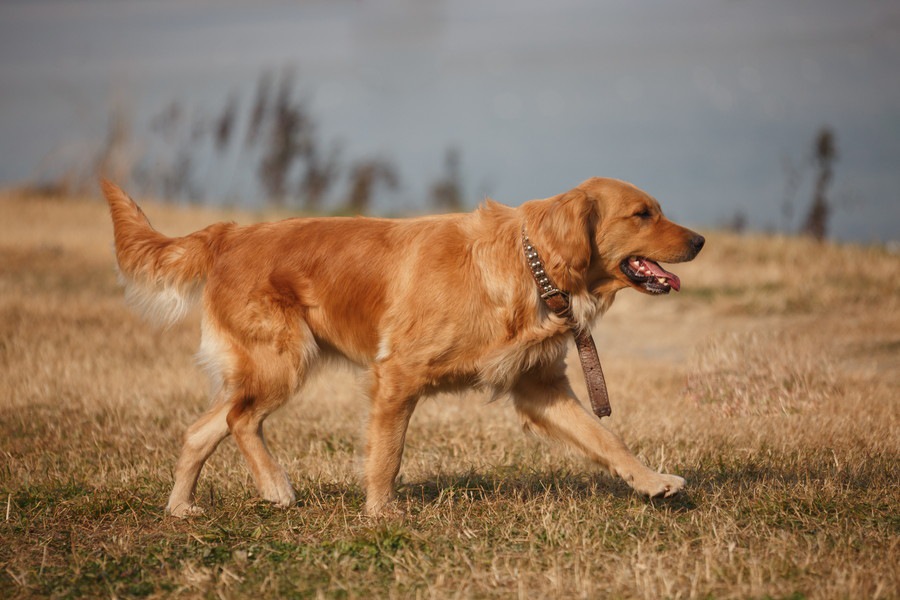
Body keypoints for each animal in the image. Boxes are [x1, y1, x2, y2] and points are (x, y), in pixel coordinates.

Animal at [103, 175, 704, 516]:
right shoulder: (397, 376)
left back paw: (181, 508)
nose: (699, 239)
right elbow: (386, 456)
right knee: (239, 420)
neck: (528, 262)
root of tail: (230, 232)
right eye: (643, 214)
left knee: (201, 429)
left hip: (261, 366)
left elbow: (607, 440)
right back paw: (275, 487)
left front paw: (652, 482)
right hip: (283, 361)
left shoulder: (540, 388)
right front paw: (379, 514)